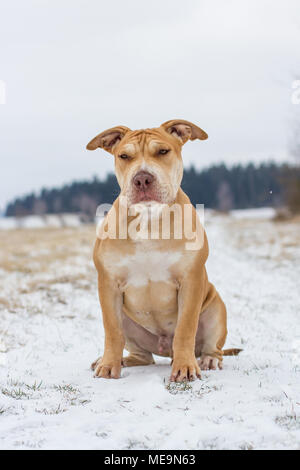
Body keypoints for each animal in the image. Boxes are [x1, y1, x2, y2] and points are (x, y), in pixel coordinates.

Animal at [85, 119, 240, 380]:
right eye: (124, 156)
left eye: (163, 151)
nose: (142, 179)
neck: (149, 220)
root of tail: (164, 350)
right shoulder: (109, 284)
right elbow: (112, 331)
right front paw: (108, 366)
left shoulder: (190, 281)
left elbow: (185, 328)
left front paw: (185, 367)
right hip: (129, 321)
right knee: (142, 355)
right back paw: (121, 360)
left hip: (215, 309)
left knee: (212, 346)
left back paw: (207, 360)